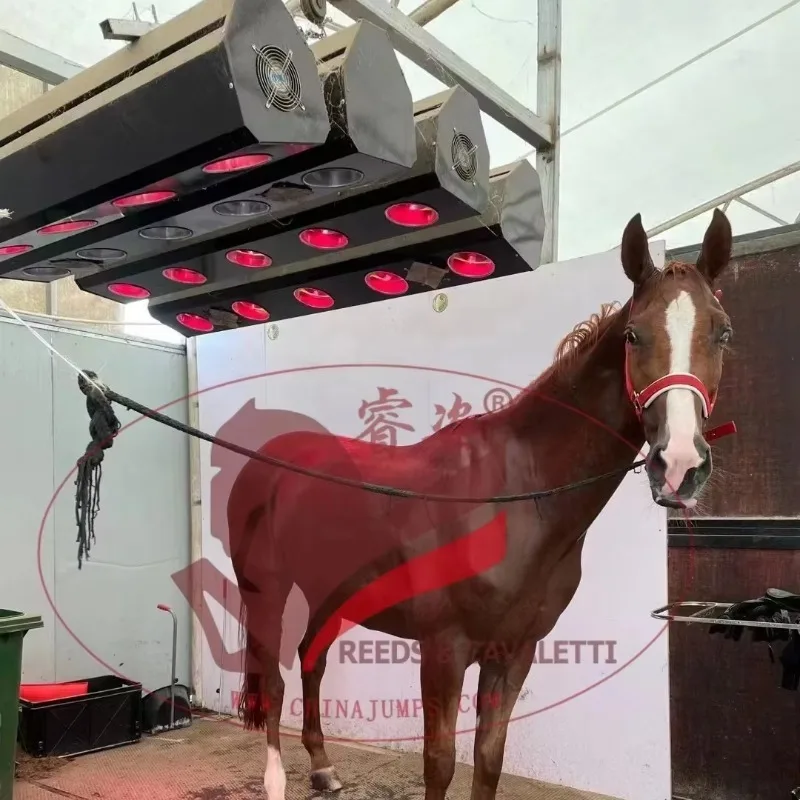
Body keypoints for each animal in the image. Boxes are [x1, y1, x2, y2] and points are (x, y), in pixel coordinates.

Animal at [226, 209, 734, 800]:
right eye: (634, 335)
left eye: (722, 332)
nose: (680, 464)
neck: (516, 496)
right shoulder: (444, 649)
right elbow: (441, 762)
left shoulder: (514, 651)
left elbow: (489, 759)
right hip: (266, 588)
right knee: (274, 679)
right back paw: (276, 779)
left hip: (330, 590)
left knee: (312, 659)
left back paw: (323, 767)